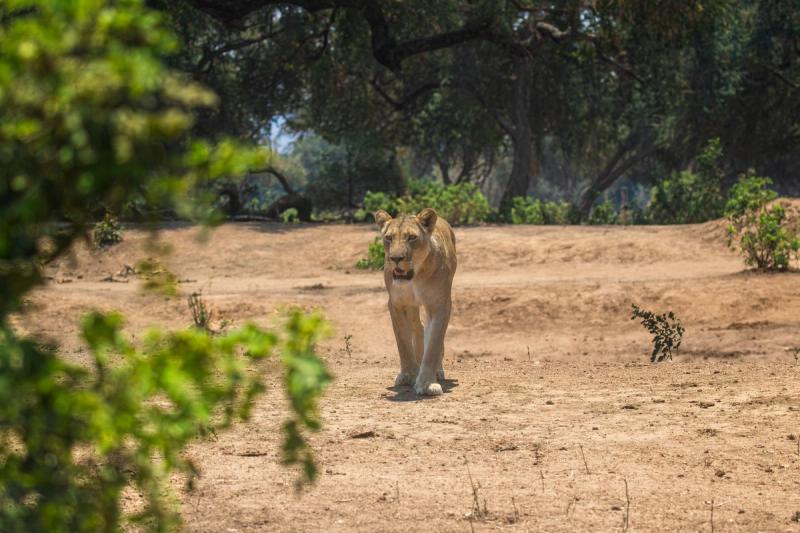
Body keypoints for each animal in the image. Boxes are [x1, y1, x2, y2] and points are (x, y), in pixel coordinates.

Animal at [374, 208, 457, 396]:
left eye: (412, 237)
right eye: (388, 238)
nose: (395, 258)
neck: (415, 277)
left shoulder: (440, 305)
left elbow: (433, 344)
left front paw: (427, 383)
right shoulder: (396, 304)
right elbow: (403, 343)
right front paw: (408, 376)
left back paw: (437, 371)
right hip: (412, 306)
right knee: (418, 327)